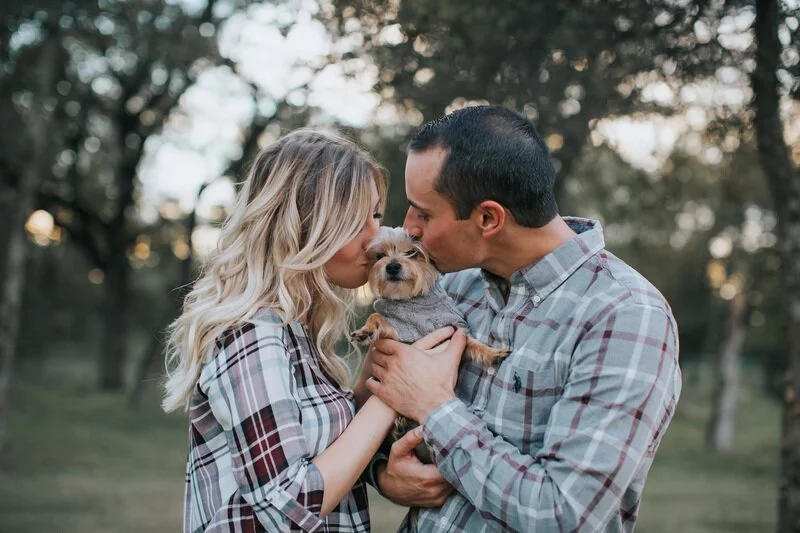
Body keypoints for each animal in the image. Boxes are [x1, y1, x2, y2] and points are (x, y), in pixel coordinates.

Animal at [350, 224, 506, 462]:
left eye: (412, 252)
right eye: (380, 255)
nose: (392, 265)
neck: (414, 301)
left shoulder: (454, 331)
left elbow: (475, 345)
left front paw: (493, 353)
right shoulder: (400, 332)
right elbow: (377, 318)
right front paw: (366, 331)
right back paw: (400, 426)